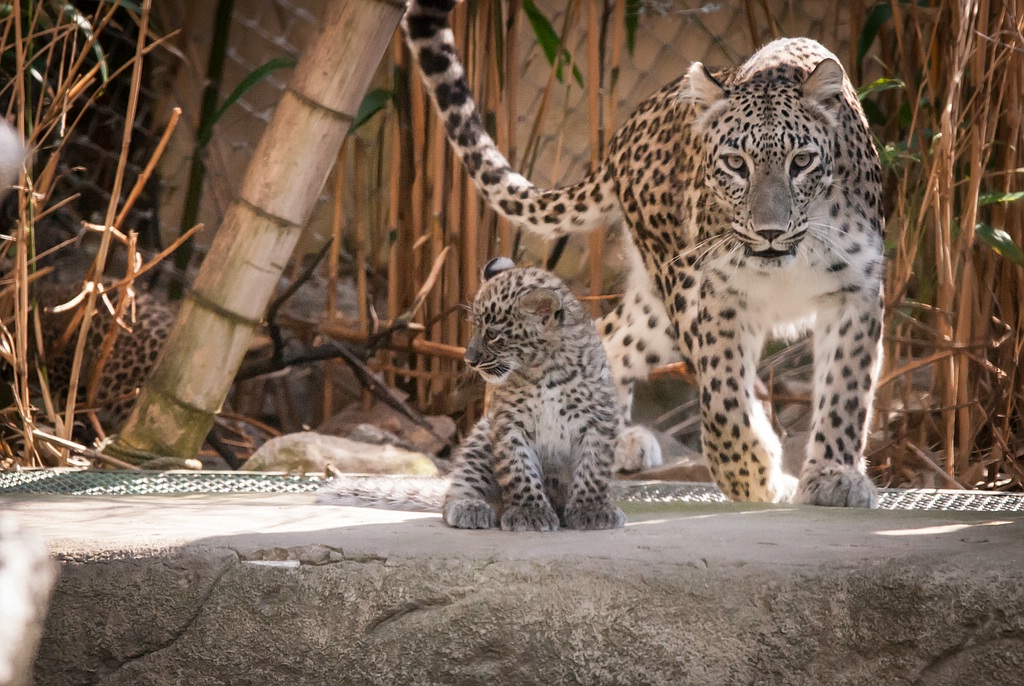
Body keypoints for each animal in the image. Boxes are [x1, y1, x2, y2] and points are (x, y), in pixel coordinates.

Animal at [320, 257, 626, 531]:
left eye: (492, 334)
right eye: (475, 328)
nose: (470, 359)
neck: (543, 371)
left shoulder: (597, 422)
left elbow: (593, 469)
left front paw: (592, 509)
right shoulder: (509, 424)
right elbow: (519, 470)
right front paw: (529, 512)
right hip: (480, 439)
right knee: (456, 491)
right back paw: (471, 507)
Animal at [404, 0, 886, 507]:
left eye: (802, 162)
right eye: (736, 164)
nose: (769, 232)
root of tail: (624, 135)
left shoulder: (855, 292)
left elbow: (845, 391)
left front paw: (833, 475)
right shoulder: (714, 296)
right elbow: (724, 394)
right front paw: (751, 475)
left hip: (656, 313)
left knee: (606, 336)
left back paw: (604, 436)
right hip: (673, 287)